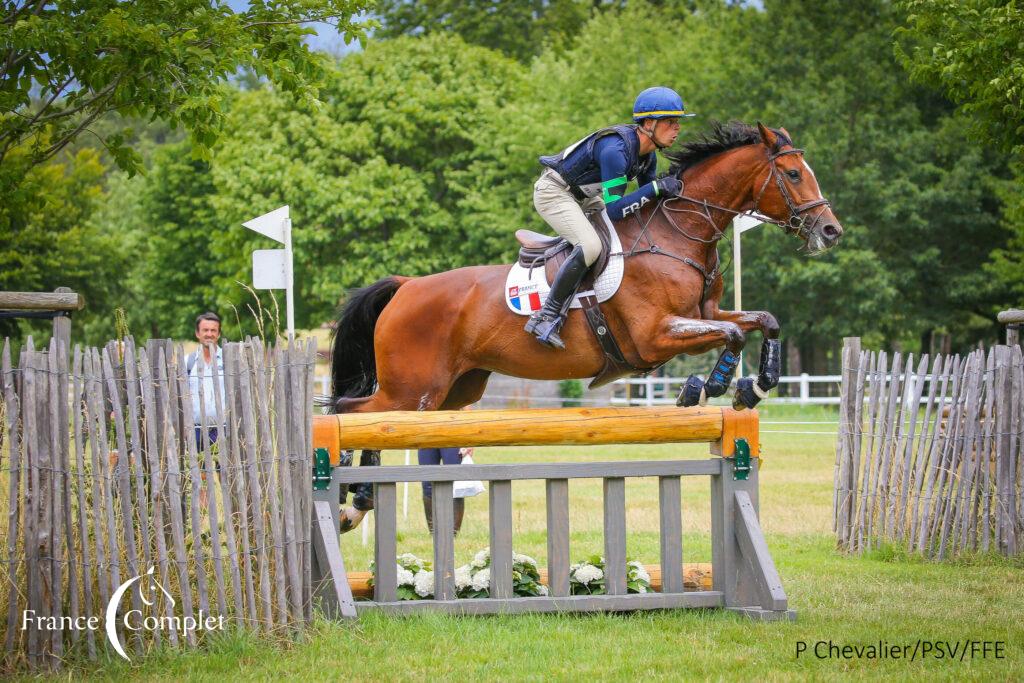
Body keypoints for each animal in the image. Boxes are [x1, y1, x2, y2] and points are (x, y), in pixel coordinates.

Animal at [325, 121, 839, 528]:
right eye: (793, 173)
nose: (831, 231)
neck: (676, 233)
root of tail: (407, 286)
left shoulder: (702, 316)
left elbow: (762, 321)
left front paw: (756, 386)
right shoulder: (655, 338)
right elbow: (731, 335)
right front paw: (705, 388)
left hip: (452, 392)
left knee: (376, 419)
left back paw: (359, 499)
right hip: (413, 389)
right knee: (351, 414)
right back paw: (351, 497)